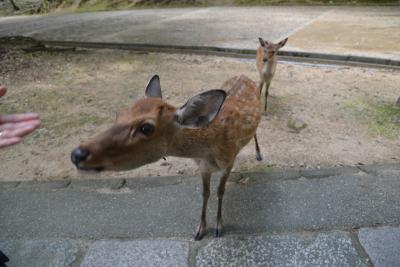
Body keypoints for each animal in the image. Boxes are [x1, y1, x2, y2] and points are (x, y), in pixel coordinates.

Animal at [69, 74, 262, 242]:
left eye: (146, 128)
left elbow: (220, 191)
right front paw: (200, 229)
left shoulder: (229, 160)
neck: (209, 150)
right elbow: (205, 193)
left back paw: (259, 154)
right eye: (119, 113)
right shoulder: (202, 166)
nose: (77, 154)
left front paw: (219, 227)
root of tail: (244, 75)